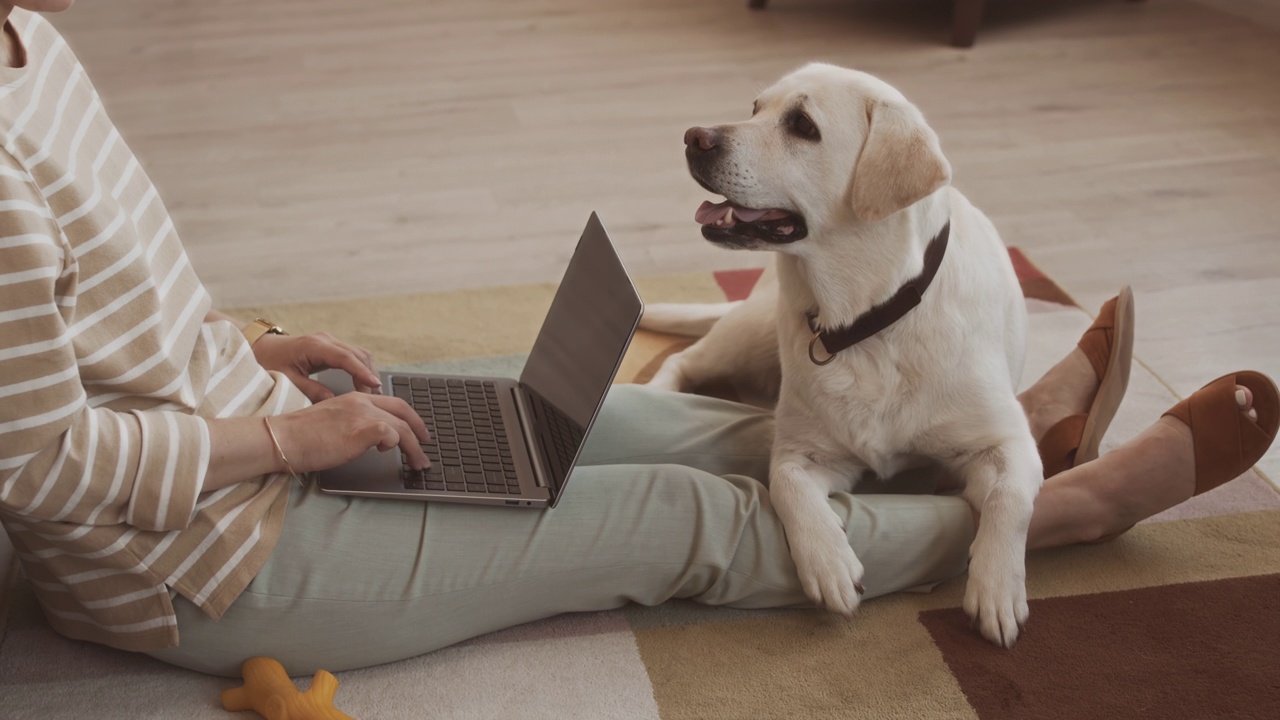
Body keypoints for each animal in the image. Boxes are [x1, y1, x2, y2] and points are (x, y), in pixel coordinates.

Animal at [645, 61, 1044, 645]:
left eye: (802, 126)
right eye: (756, 107)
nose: (694, 137)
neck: (864, 321)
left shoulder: (1005, 442)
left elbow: (1008, 500)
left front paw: (996, 590)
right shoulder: (807, 452)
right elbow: (787, 487)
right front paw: (829, 563)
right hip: (753, 333)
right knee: (682, 360)